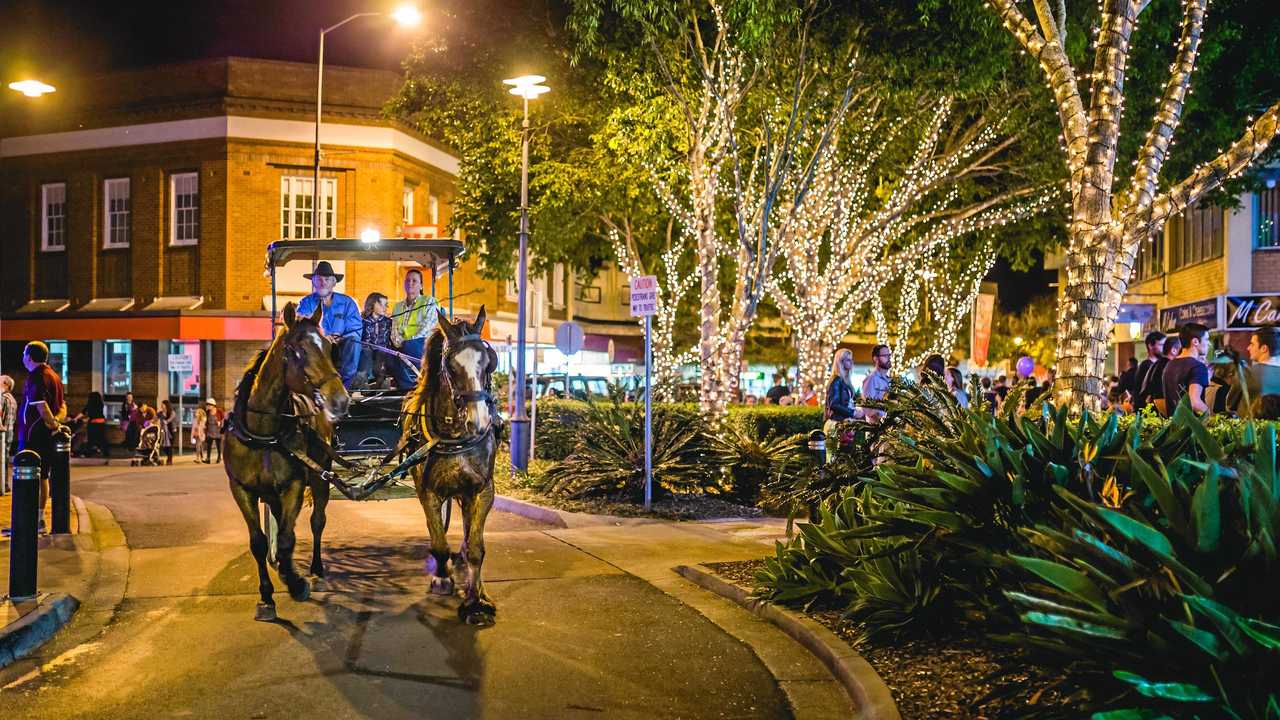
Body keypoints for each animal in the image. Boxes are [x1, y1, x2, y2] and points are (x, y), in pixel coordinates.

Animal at [222, 299, 348, 620]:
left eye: (330, 347)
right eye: (298, 351)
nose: (340, 401)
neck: (264, 433)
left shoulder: (293, 485)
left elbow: (289, 538)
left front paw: (296, 582)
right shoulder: (241, 489)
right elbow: (259, 542)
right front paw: (267, 595)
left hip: (320, 475)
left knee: (317, 521)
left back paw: (315, 570)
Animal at [399, 304, 499, 620]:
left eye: (489, 363)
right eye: (451, 366)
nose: (479, 422)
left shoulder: (483, 490)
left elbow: (476, 547)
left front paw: (476, 600)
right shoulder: (427, 491)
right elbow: (439, 543)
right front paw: (442, 577)